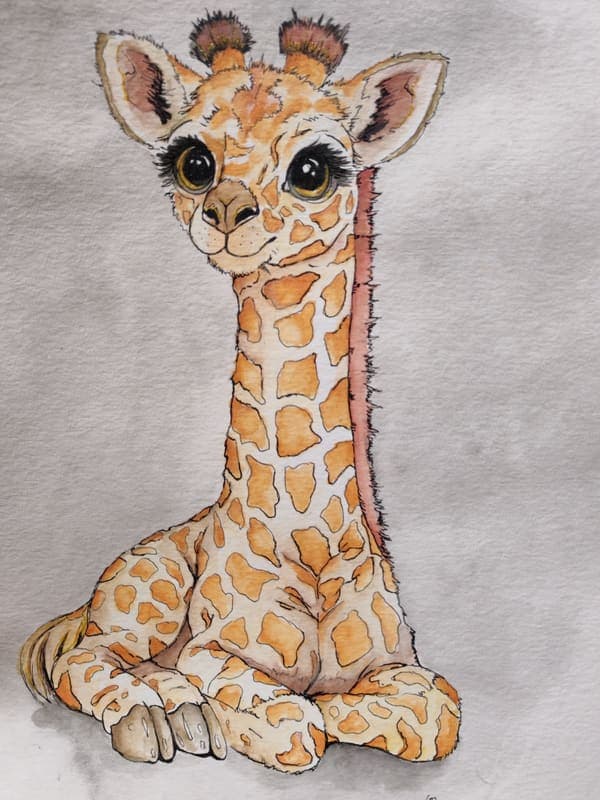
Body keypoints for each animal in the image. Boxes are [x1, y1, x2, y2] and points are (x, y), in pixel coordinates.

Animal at [20, 11, 460, 772]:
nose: (227, 210)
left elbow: (431, 715)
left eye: (312, 169)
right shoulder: (215, 649)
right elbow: (297, 728)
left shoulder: (401, 663)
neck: (311, 547)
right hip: (150, 593)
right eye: (193, 162)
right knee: (91, 655)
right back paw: (159, 716)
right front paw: (212, 712)